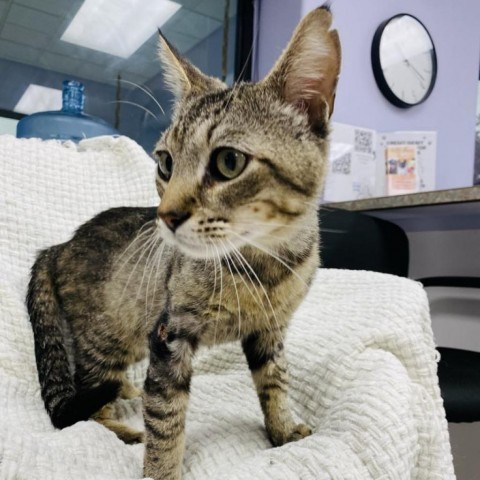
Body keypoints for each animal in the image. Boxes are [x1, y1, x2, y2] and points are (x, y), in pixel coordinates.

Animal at [27, 5, 342, 478]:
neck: (261, 265)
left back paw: (125, 390)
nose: (165, 216)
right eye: (165, 163)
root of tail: (59, 246)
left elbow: (275, 381)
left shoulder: (269, 331)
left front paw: (283, 429)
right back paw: (121, 426)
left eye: (229, 162)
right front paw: (161, 469)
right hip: (105, 335)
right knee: (89, 406)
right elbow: (166, 418)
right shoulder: (168, 336)